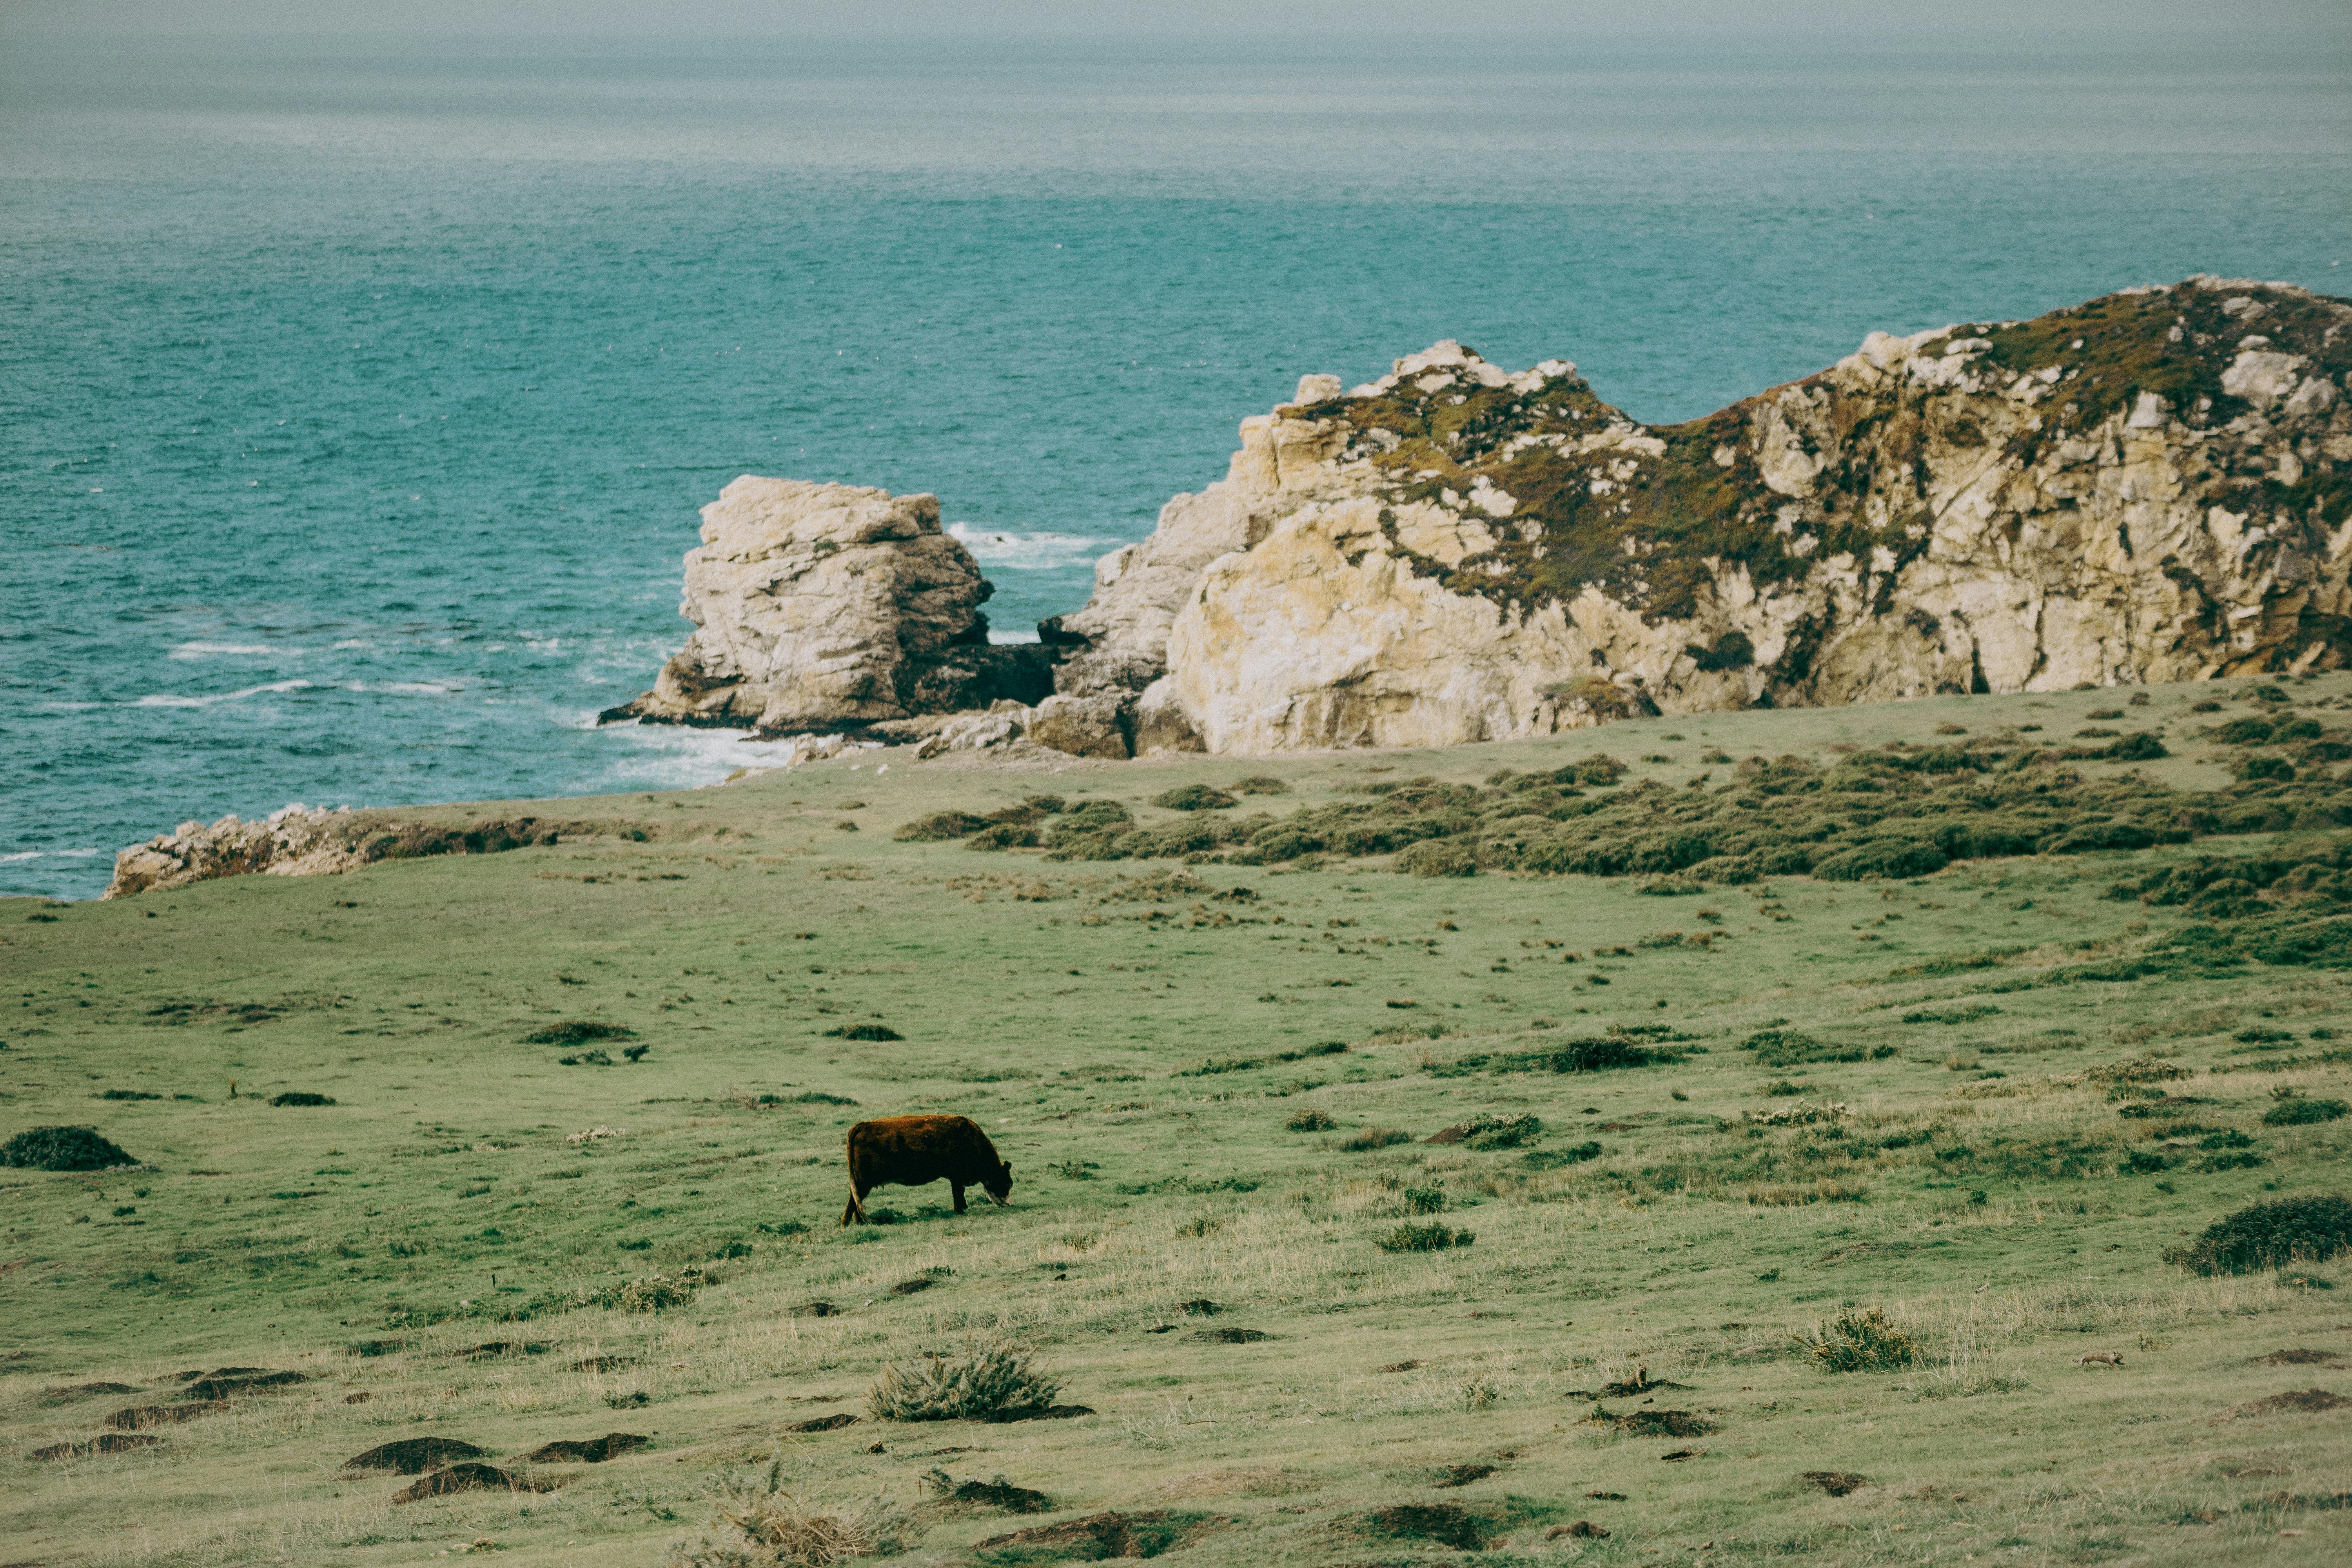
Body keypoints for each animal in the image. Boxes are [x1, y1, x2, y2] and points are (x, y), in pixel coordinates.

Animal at [840, 1114, 1013, 1225]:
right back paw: (847, 1222)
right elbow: (958, 1192)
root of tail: (862, 1126)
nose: (1010, 1204)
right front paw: (960, 1210)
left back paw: (857, 1221)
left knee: (855, 1200)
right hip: (864, 1182)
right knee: (855, 1200)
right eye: (1008, 1183)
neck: (970, 1140)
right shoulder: (956, 1176)